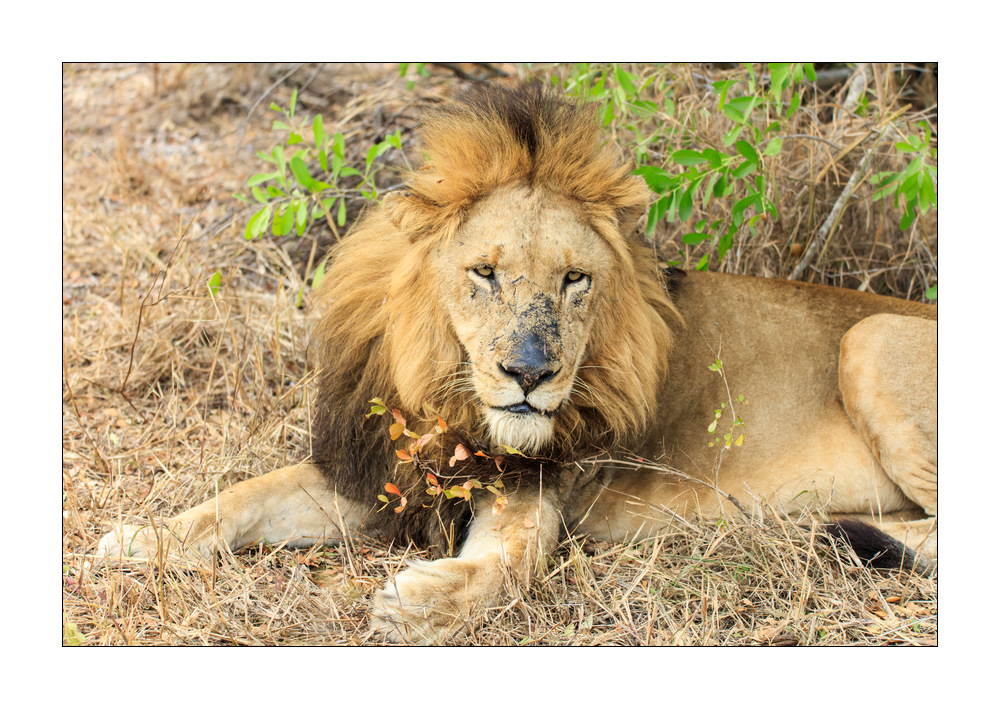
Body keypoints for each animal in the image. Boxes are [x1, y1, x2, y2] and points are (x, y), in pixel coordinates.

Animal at [97, 82, 937, 644]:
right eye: (486, 273)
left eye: (574, 280)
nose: (531, 375)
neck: (451, 396)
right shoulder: (377, 471)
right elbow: (241, 497)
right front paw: (141, 539)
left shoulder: (535, 492)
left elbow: (508, 566)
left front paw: (418, 602)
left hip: (871, 339)